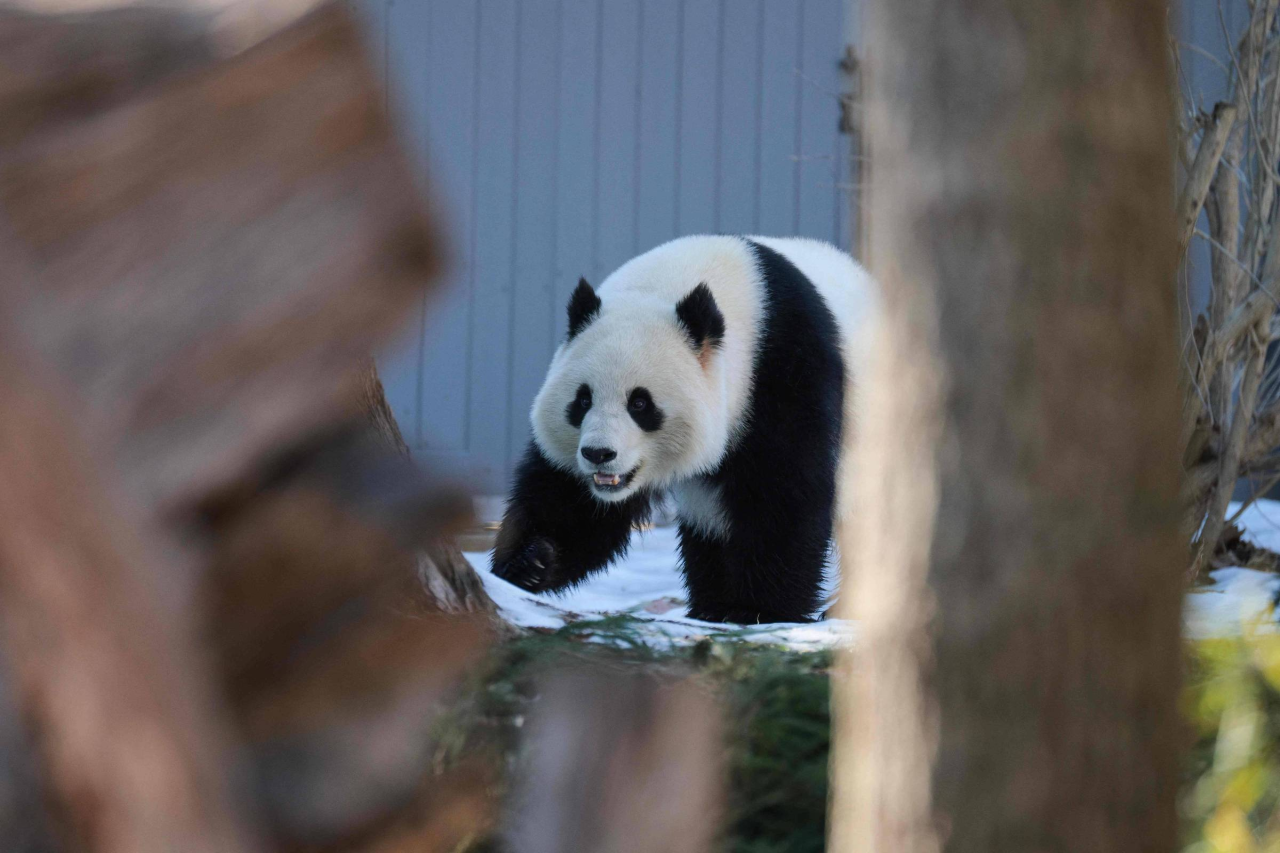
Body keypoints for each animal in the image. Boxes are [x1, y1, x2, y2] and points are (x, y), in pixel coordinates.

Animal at [491, 235, 875, 624]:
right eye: (583, 400)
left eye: (640, 403)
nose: (598, 454)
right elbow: (570, 499)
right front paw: (532, 562)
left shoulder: (784, 371)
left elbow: (784, 495)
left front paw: (759, 610)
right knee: (710, 528)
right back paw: (709, 606)